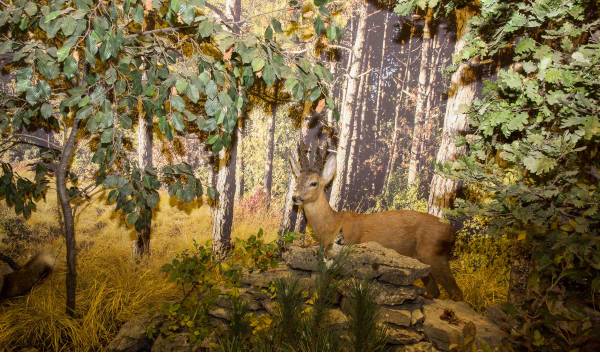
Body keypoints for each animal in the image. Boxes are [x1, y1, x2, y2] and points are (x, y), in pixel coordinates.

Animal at [290, 152, 464, 300]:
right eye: (296, 180)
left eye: (313, 183)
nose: (295, 197)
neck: (331, 224)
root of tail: (451, 231)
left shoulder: (349, 244)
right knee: (435, 291)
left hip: (433, 254)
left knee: (456, 293)